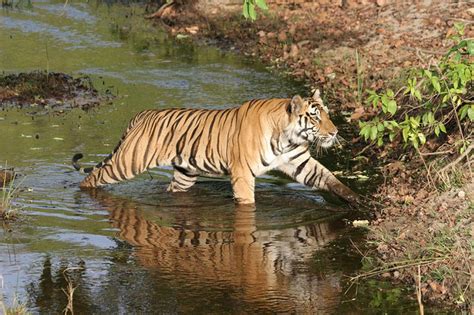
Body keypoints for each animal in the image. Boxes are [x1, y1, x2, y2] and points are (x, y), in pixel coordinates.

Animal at [72, 90, 358, 206]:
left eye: (327, 114)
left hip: (185, 174)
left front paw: (356, 200)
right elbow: (247, 203)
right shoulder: (242, 173)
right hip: (128, 162)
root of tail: (142, 114)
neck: (287, 138)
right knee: (93, 177)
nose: (335, 132)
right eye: (315, 117)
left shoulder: (298, 161)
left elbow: (328, 178)